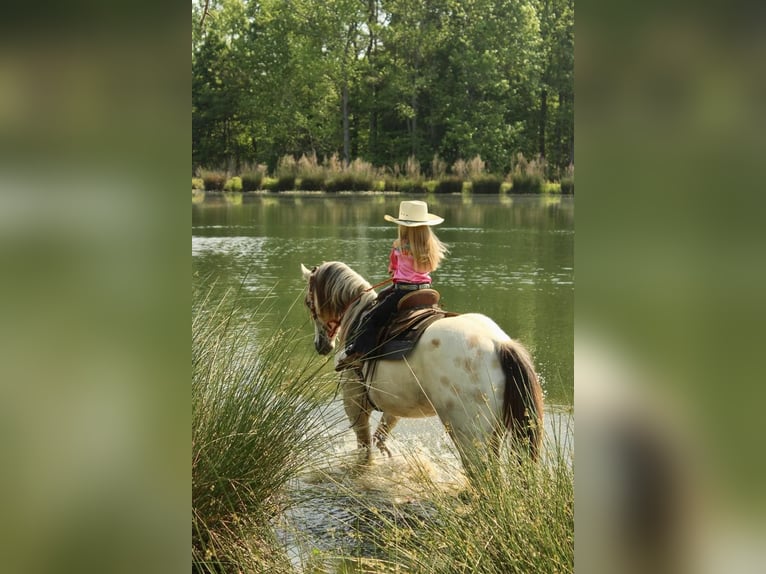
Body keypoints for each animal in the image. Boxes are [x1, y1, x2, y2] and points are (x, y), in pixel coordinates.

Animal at [300, 264, 544, 474]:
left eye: (308, 302)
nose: (321, 345)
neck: (358, 319)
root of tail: (499, 344)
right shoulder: (393, 407)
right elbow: (380, 437)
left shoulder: (355, 406)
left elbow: (365, 450)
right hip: (494, 432)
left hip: (470, 436)